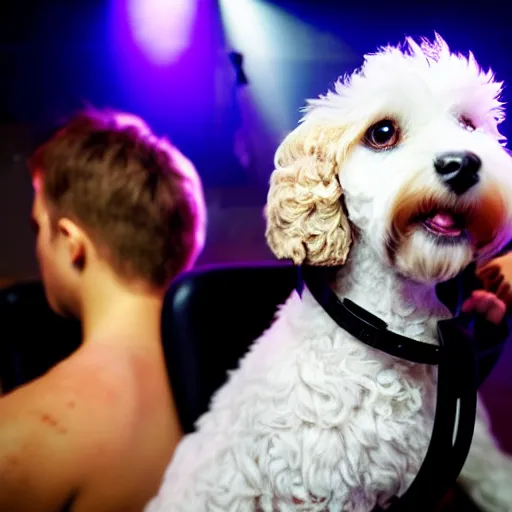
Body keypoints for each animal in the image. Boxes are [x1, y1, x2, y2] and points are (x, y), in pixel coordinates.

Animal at [146, 34, 512, 510]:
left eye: (468, 124)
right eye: (382, 133)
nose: (462, 164)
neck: (390, 329)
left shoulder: (472, 455)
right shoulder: (327, 492)